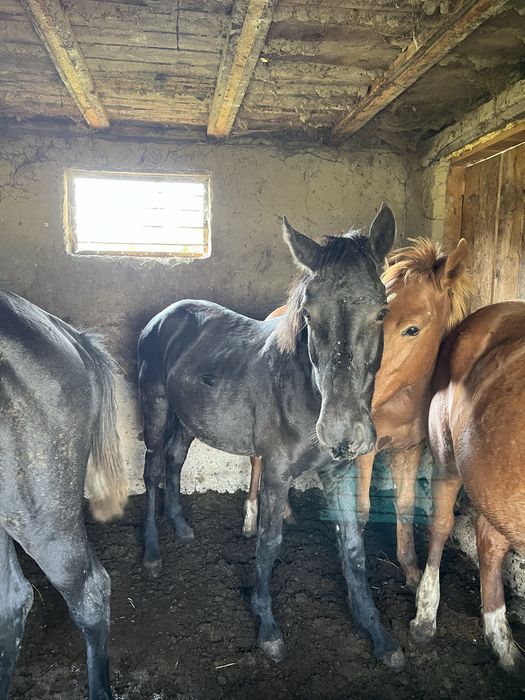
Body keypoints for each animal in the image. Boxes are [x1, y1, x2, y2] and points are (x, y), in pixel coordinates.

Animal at [137, 204, 405, 668]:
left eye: (381, 312)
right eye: (308, 314)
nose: (342, 432)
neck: (305, 392)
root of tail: (166, 316)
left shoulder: (339, 473)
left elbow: (353, 548)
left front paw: (377, 633)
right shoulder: (276, 473)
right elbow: (268, 542)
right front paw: (266, 628)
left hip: (188, 420)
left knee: (173, 461)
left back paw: (182, 526)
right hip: (157, 409)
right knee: (152, 470)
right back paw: (153, 554)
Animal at [243, 238, 474, 592]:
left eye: (412, 329)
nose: (341, 408)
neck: (396, 402)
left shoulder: (410, 449)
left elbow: (404, 506)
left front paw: (410, 570)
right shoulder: (363, 452)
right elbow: (362, 509)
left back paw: (287, 513)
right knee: (257, 459)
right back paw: (251, 518)